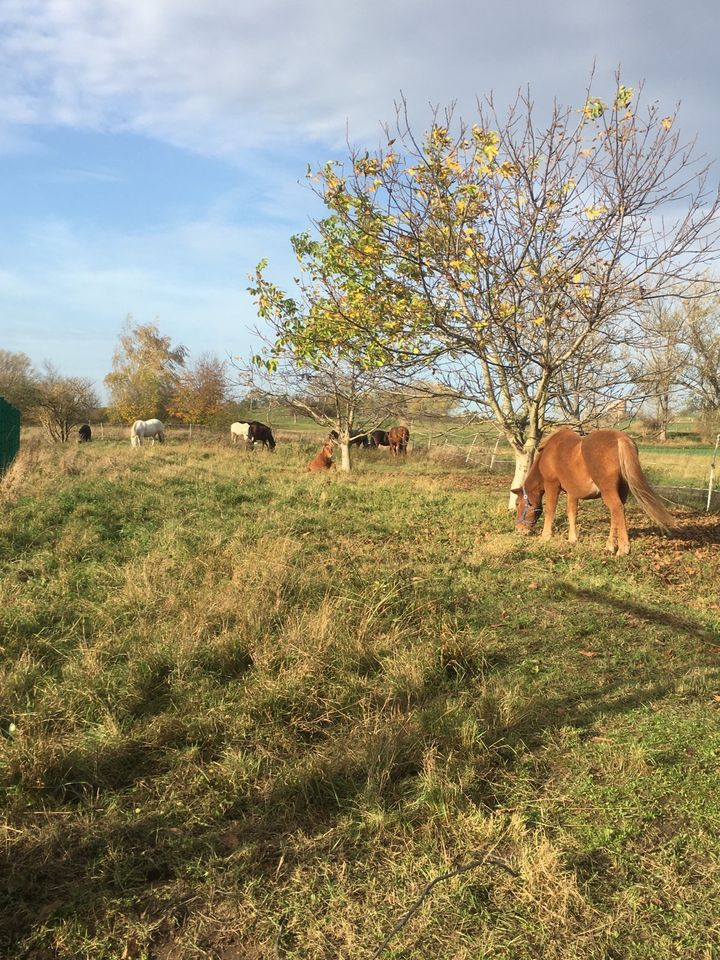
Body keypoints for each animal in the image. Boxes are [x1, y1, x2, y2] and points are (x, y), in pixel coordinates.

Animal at [512, 430, 676, 556]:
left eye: (518, 503)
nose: (519, 529)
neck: (547, 453)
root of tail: (620, 438)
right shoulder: (572, 493)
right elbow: (572, 513)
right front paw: (572, 539)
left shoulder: (552, 486)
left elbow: (550, 510)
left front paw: (545, 537)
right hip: (622, 490)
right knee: (616, 513)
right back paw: (610, 545)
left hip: (608, 491)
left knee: (617, 509)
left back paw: (623, 549)